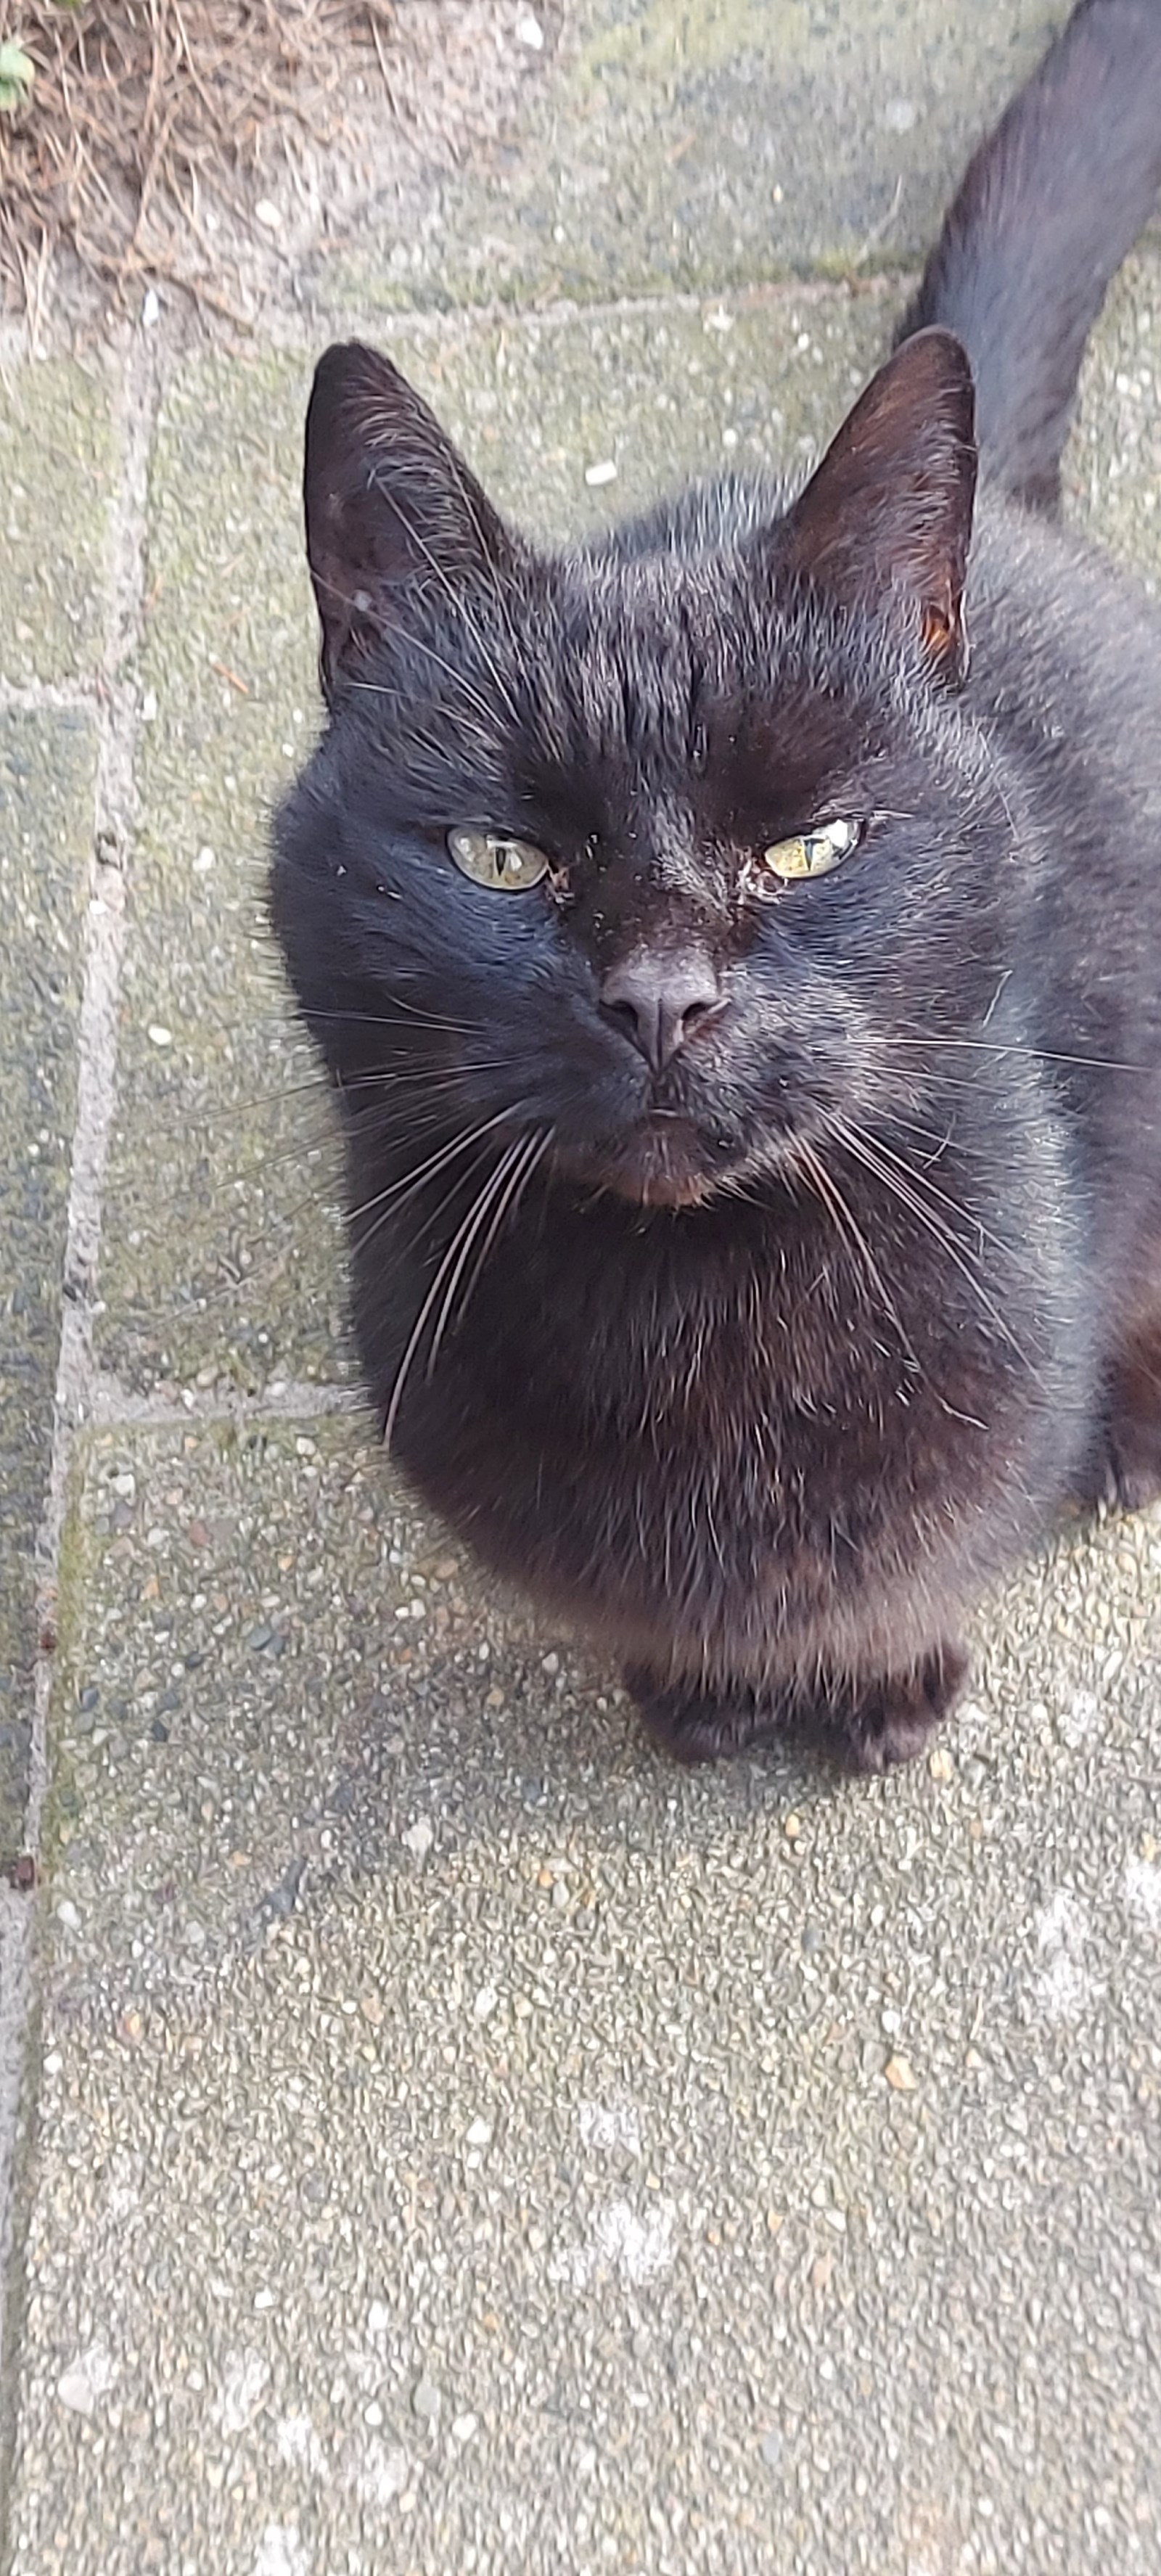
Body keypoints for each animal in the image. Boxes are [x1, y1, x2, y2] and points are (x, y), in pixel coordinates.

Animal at [271, 0, 1161, 1772]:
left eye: (808, 844)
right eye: (502, 857)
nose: (659, 998)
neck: (697, 1331)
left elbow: (901, 1575)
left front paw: (877, 1691)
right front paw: (700, 1691)